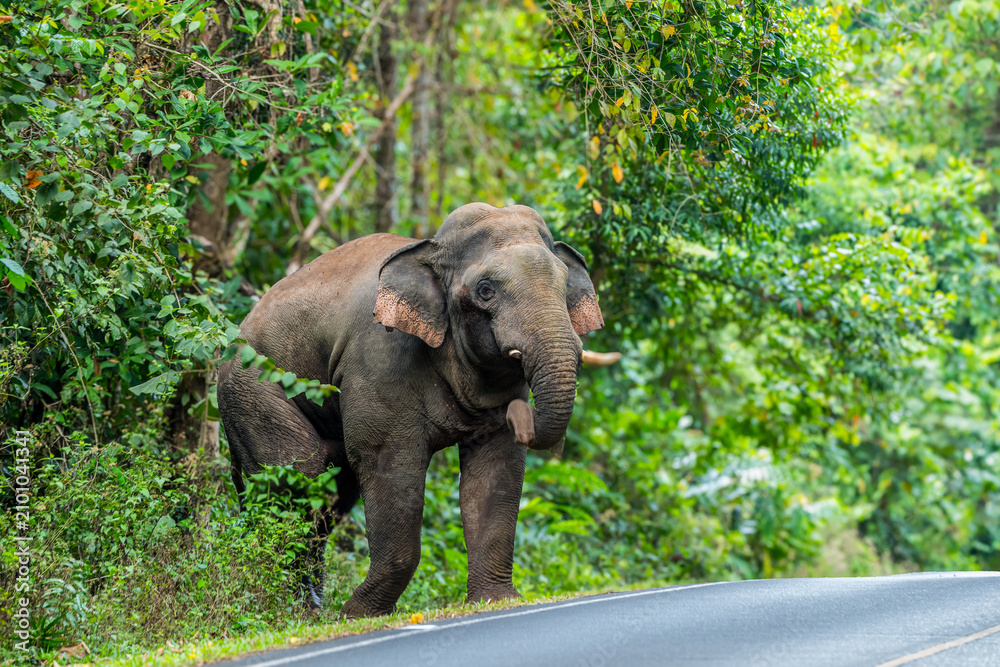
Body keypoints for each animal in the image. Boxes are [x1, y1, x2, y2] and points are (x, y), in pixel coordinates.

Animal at [217, 202, 603, 618]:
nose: (520, 412)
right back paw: (291, 611)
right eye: (485, 290)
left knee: (332, 491)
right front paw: (358, 614)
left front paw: (496, 601)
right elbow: (391, 466)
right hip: (253, 391)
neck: (430, 248)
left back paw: (306, 607)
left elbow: (496, 468)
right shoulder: (379, 362)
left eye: (564, 285)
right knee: (297, 473)